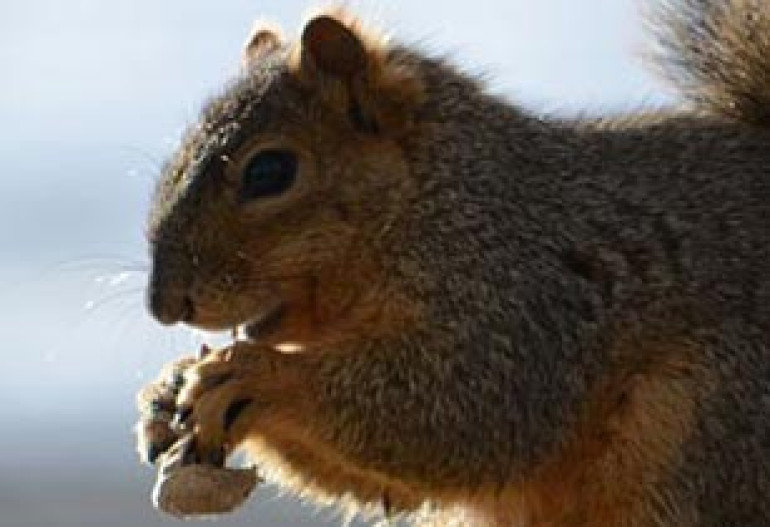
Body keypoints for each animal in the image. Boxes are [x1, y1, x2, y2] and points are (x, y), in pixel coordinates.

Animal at [135, 1, 770, 526]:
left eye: (270, 171)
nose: (163, 305)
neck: (432, 201)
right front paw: (165, 391)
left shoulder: (522, 298)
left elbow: (461, 411)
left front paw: (254, 374)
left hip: (702, 433)